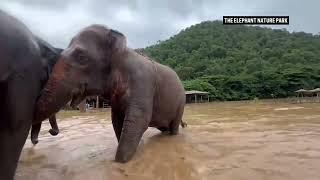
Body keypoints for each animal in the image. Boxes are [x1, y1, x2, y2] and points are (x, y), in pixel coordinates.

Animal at [34, 24, 188, 164]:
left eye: (82, 57)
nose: (51, 132)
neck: (124, 50)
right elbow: (117, 120)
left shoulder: (142, 81)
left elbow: (138, 120)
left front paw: (120, 161)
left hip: (181, 101)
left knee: (174, 126)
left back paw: (173, 134)